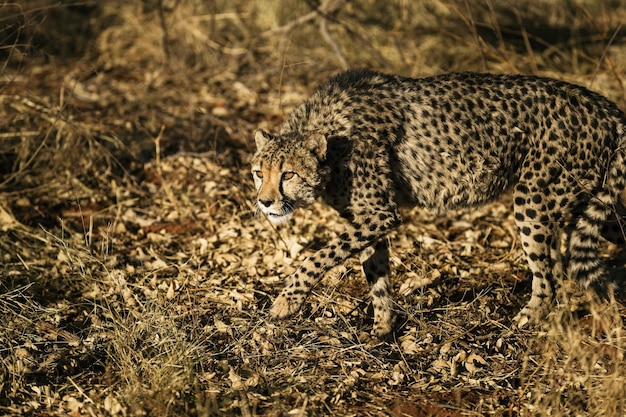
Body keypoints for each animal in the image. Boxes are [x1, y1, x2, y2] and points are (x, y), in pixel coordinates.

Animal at [250, 67, 624, 334]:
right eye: (258, 173)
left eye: (288, 175)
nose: (265, 203)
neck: (332, 143)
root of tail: (604, 105)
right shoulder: (366, 219)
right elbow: (376, 271)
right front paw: (382, 329)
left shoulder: (381, 214)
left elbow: (317, 257)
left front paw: (285, 304)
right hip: (590, 205)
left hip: (534, 199)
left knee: (549, 277)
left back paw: (527, 319)